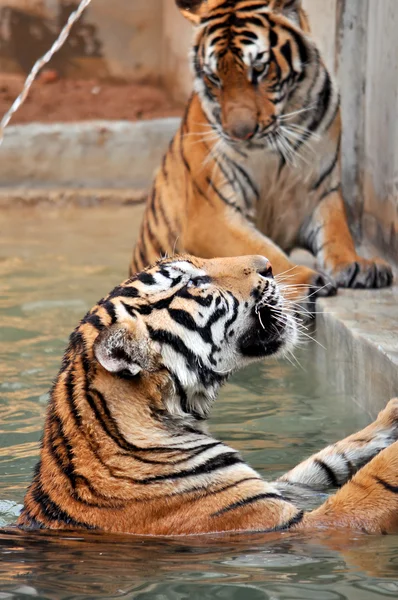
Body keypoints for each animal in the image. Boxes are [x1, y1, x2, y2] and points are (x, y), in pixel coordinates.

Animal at [131, 0, 392, 298]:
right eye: (214, 78)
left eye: (259, 69)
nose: (241, 132)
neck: (273, 151)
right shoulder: (211, 213)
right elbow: (265, 251)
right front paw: (306, 279)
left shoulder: (322, 190)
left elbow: (337, 232)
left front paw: (358, 264)